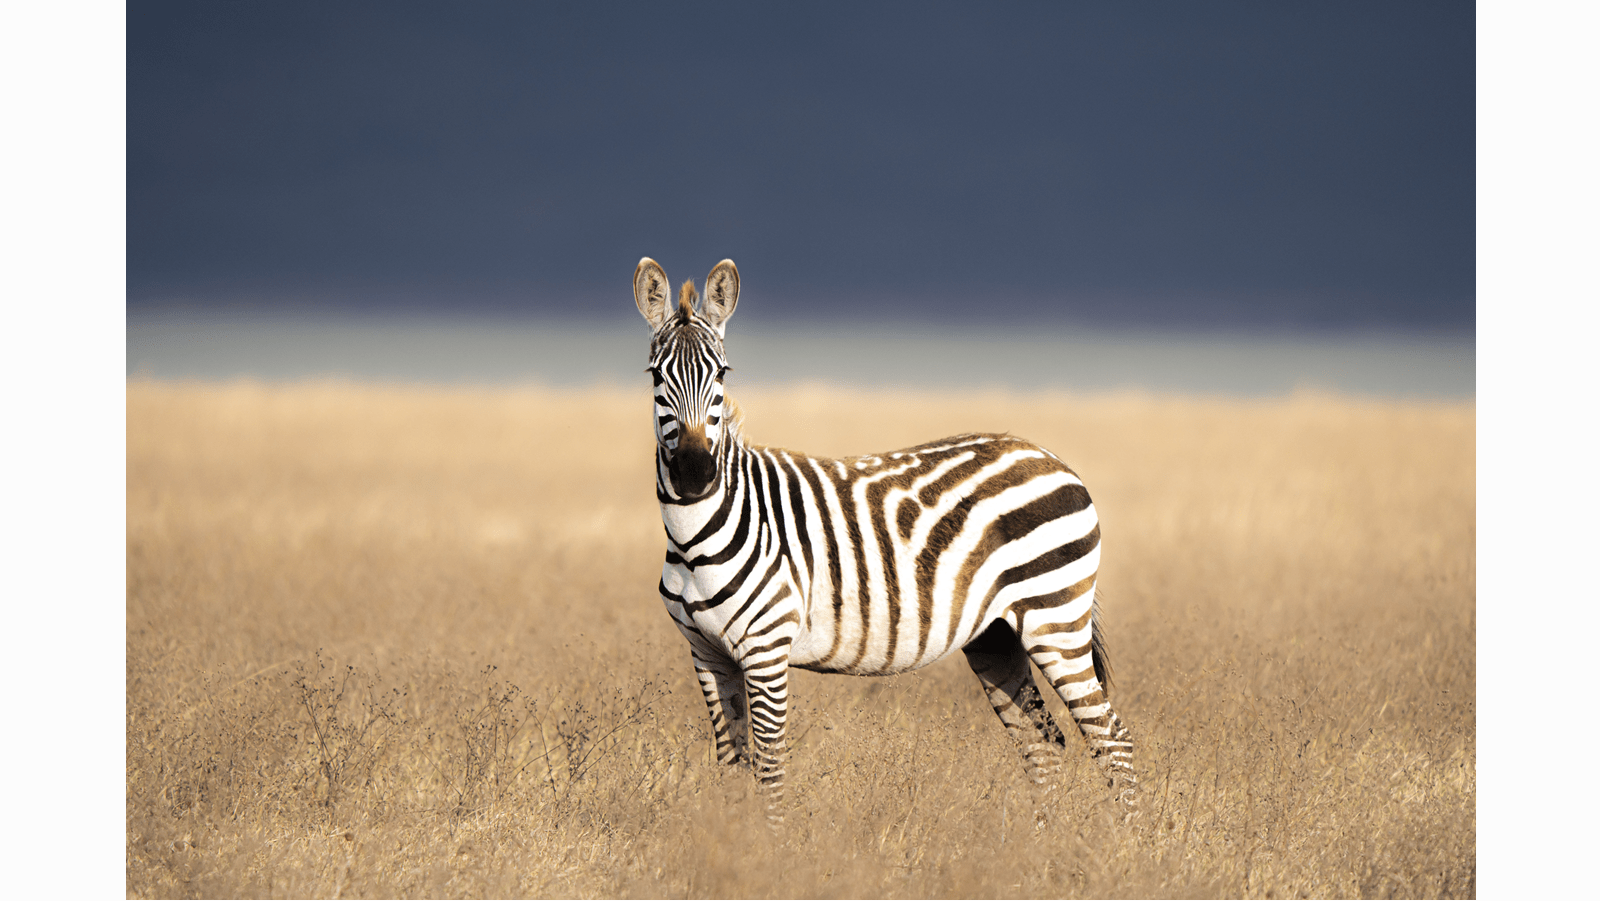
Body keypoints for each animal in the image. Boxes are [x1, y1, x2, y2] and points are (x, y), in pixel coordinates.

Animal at [634, 257, 1136, 824]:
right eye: (655, 376)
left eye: (721, 373)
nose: (696, 473)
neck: (696, 538)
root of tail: (1048, 456)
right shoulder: (706, 654)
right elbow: (732, 767)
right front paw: (734, 839)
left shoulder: (766, 650)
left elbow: (769, 768)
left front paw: (771, 843)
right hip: (996, 636)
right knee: (1042, 742)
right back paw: (1044, 839)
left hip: (1055, 619)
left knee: (1111, 738)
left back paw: (1126, 840)